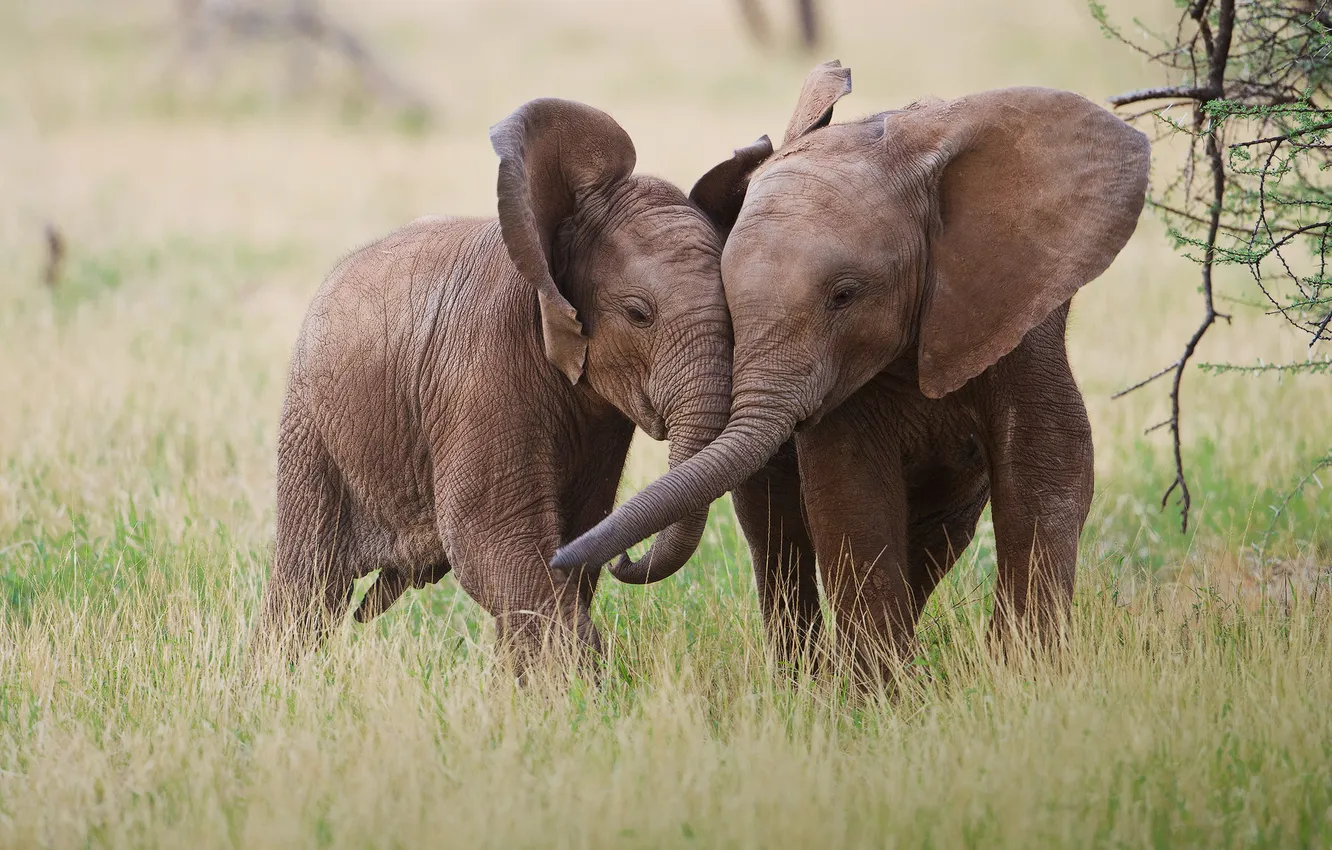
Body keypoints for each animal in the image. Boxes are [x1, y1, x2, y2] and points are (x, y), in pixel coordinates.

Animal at [255, 97, 752, 669]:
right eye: (638, 314)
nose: (628, 558)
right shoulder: (482, 371)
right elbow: (494, 542)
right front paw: (586, 682)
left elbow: (576, 535)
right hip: (311, 420)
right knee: (310, 581)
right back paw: (272, 679)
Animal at [552, 62, 1151, 677]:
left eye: (844, 295)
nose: (613, 559)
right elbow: (850, 488)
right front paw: (882, 691)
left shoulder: (1020, 312)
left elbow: (1048, 464)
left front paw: (1022, 674)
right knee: (776, 527)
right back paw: (805, 678)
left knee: (939, 531)